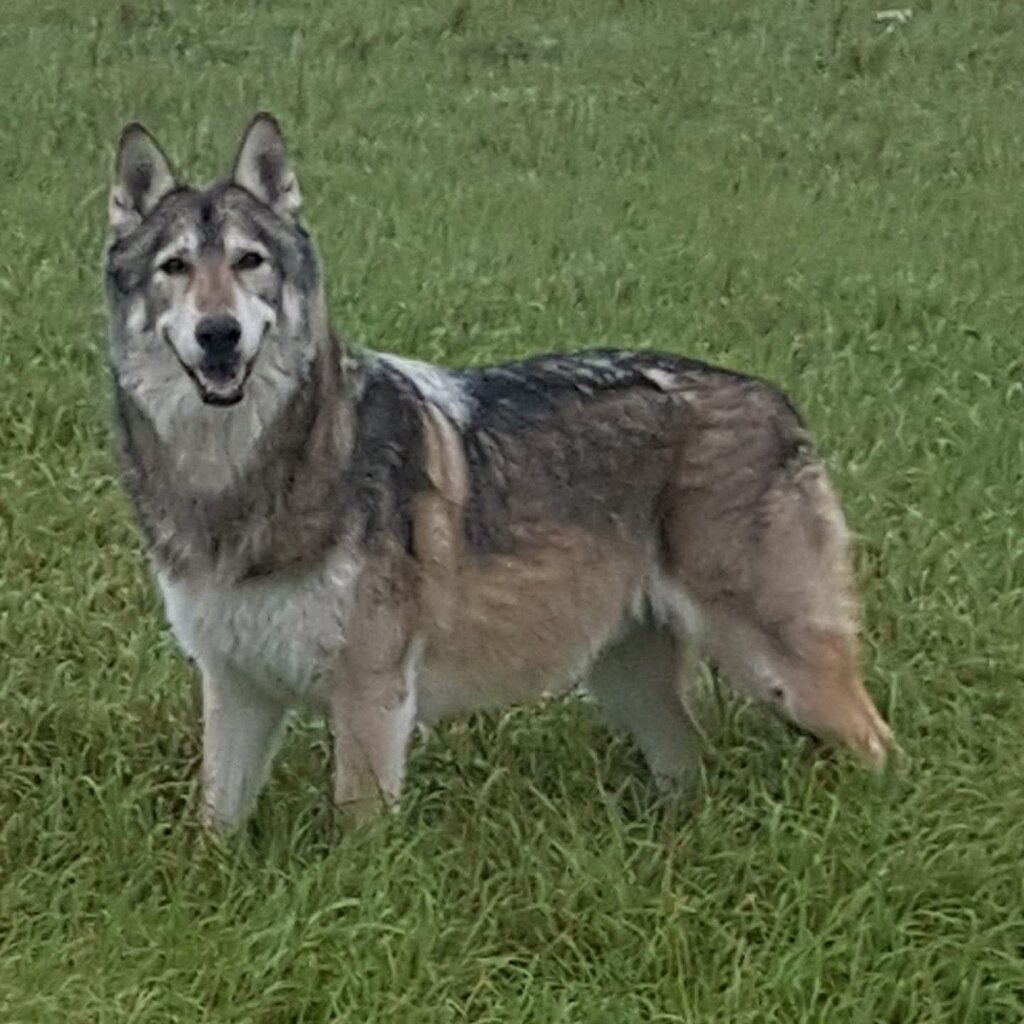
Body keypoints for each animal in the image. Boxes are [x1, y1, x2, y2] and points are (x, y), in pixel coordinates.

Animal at [104, 114, 894, 829]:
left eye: (249, 262)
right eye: (175, 267)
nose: (219, 334)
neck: (231, 483)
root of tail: (778, 400)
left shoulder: (371, 692)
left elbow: (358, 839)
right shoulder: (234, 689)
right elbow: (214, 829)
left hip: (782, 674)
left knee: (881, 745)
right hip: (629, 682)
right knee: (689, 761)